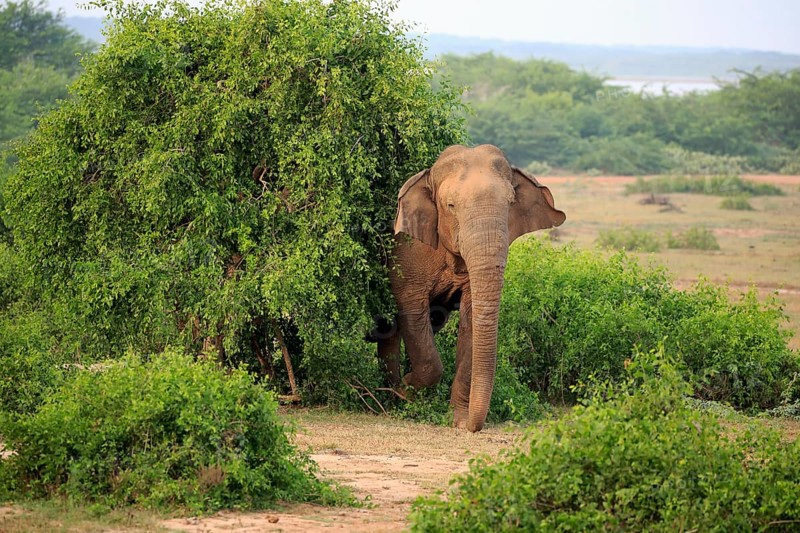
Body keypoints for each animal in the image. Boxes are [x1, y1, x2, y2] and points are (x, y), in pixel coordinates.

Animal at [377, 144, 565, 432]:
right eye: (451, 206)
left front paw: (457, 419)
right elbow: (412, 312)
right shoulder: (405, 251)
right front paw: (407, 390)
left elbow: (472, 321)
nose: (473, 427)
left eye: (510, 204)